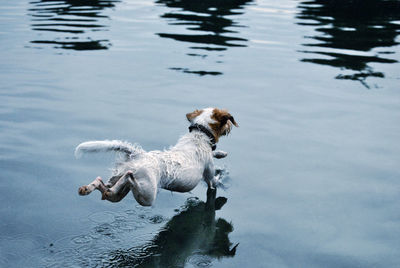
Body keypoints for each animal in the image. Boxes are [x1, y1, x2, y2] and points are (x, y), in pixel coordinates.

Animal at [75, 108, 238, 206]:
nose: (230, 127)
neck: (200, 134)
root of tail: (138, 153)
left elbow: (214, 153)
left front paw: (220, 153)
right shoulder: (209, 177)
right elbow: (215, 179)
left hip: (118, 188)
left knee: (104, 186)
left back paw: (88, 188)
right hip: (147, 195)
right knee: (127, 179)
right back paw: (127, 177)